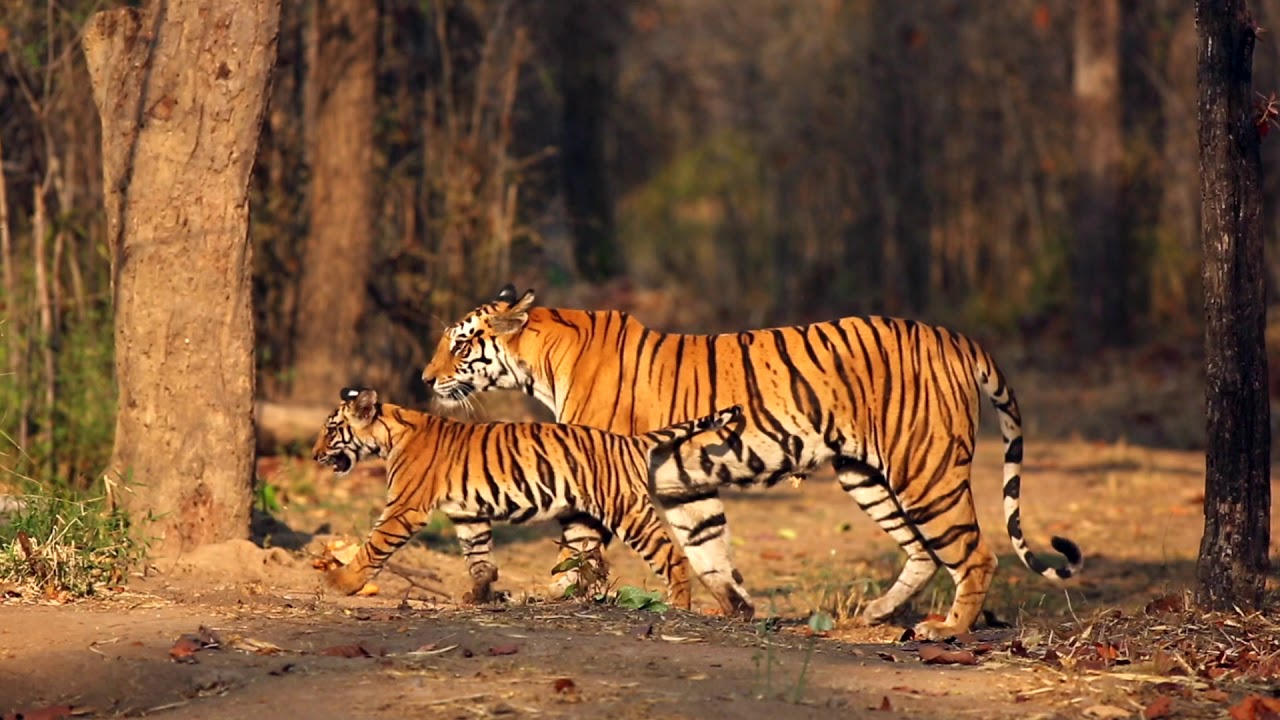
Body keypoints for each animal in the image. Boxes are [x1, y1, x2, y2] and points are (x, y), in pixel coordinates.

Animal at [312, 386, 748, 613]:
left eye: (331, 430)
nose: (314, 455)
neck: (389, 434)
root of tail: (630, 441)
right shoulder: (468, 515)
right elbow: (479, 560)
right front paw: (481, 594)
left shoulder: (405, 508)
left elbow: (372, 547)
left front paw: (340, 582)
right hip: (585, 523)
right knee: (582, 566)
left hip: (629, 511)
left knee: (672, 556)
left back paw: (677, 607)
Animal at [419, 285, 1083, 639]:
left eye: (460, 343)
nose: (426, 379)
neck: (542, 359)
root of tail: (957, 337)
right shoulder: (683, 485)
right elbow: (707, 547)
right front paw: (735, 608)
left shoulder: (594, 472)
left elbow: (577, 547)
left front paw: (556, 596)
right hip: (868, 475)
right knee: (921, 549)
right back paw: (875, 614)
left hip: (925, 470)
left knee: (975, 553)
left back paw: (946, 629)